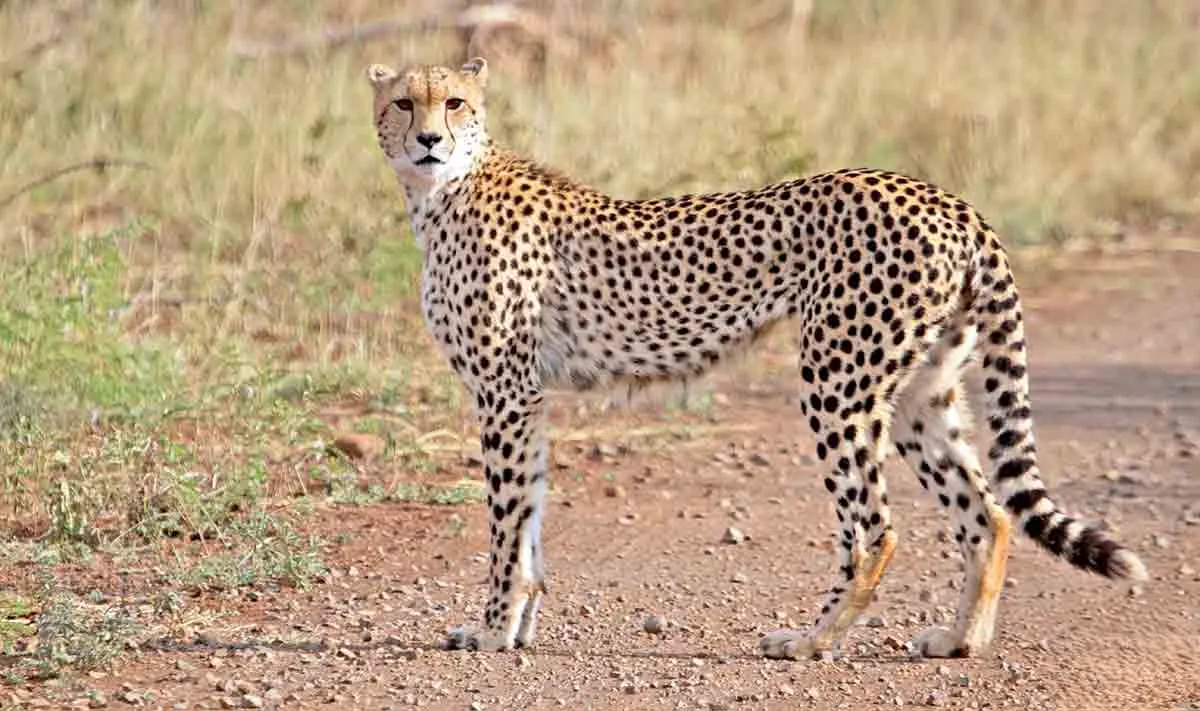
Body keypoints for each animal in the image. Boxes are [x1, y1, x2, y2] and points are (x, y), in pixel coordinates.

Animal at [362, 58, 1142, 658]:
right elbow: (528, 517)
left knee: (875, 529)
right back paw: (960, 640)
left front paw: (494, 630)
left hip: (838, 381)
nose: (428, 139)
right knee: (987, 512)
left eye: (454, 102)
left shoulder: (503, 392)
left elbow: (505, 524)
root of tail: (946, 198)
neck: (442, 192)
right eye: (404, 101)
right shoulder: (526, 398)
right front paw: (515, 628)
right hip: (922, 389)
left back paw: (812, 640)